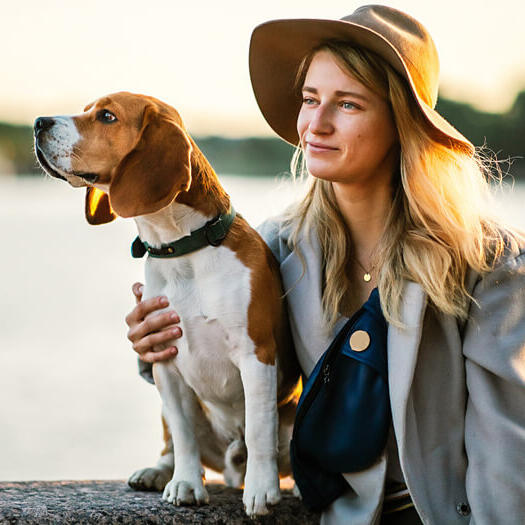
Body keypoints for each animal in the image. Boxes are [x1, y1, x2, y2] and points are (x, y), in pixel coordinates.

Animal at [33, 92, 298, 512]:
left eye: (106, 116)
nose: (38, 122)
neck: (184, 250)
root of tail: (231, 464)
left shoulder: (257, 354)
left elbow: (259, 429)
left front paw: (261, 489)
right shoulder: (164, 361)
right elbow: (183, 434)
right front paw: (186, 483)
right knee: (172, 443)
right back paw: (157, 471)